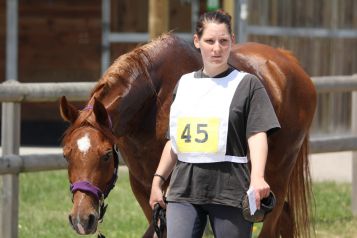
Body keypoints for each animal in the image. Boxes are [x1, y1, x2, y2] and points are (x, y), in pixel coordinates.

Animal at [59, 32, 316, 237]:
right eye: (65, 155)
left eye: (105, 155)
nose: (82, 219)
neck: (152, 104)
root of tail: (289, 63)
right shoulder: (144, 188)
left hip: (276, 177)